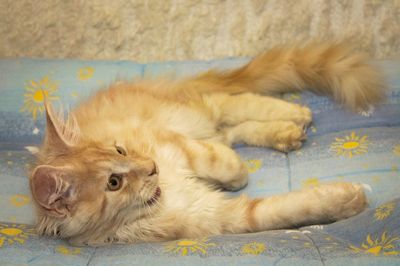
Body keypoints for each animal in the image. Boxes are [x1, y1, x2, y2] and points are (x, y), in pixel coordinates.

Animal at [28, 43, 384, 245]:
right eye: (114, 183)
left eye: (120, 150)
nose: (152, 168)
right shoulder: (217, 217)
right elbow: (285, 209)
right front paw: (345, 200)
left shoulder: (173, 143)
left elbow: (220, 162)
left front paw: (236, 173)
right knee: (235, 128)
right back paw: (286, 132)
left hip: (194, 112)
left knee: (236, 104)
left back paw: (295, 114)